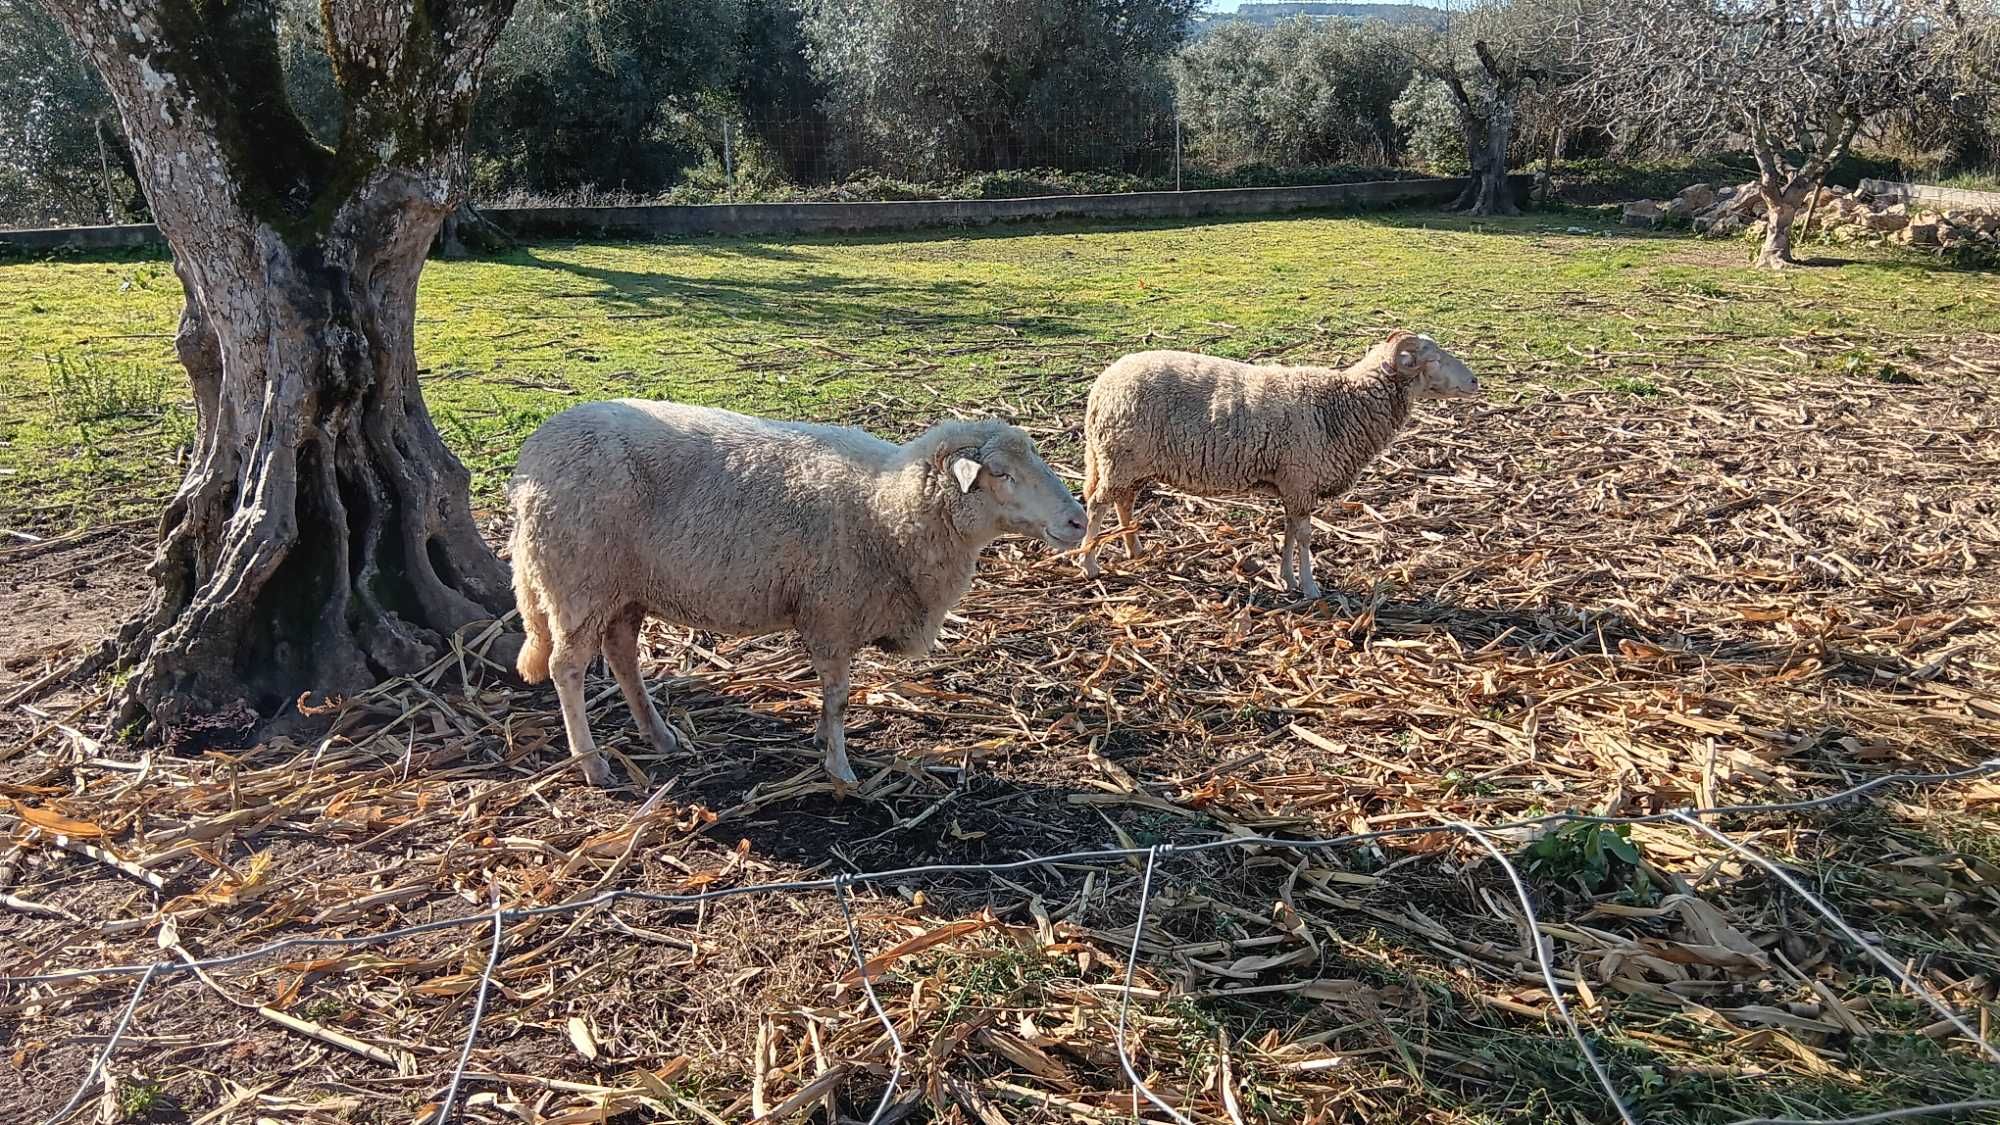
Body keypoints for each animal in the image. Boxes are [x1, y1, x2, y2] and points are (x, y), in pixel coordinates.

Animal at [508, 398, 1088, 784]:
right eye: (1001, 474)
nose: (1077, 521)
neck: (887, 504)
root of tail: (533, 455)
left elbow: (831, 698)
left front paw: (823, 742)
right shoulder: (830, 613)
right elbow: (838, 697)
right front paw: (839, 767)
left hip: (622, 588)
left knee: (623, 656)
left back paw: (660, 735)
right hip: (577, 581)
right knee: (566, 668)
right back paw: (592, 763)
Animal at [1080, 328, 1488, 600]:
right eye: (1432, 359)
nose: (1474, 382)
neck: (1345, 403)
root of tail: (1103, 385)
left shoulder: (1293, 485)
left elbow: (1290, 532)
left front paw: (1287, 579)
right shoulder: (1302, 479)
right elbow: (1304, 536)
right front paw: (1310, 586)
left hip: (1127, 461)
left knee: (1123, 501)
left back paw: (1134, 550)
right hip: (1120, 456)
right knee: (1098, 504)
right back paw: (1089, 564)